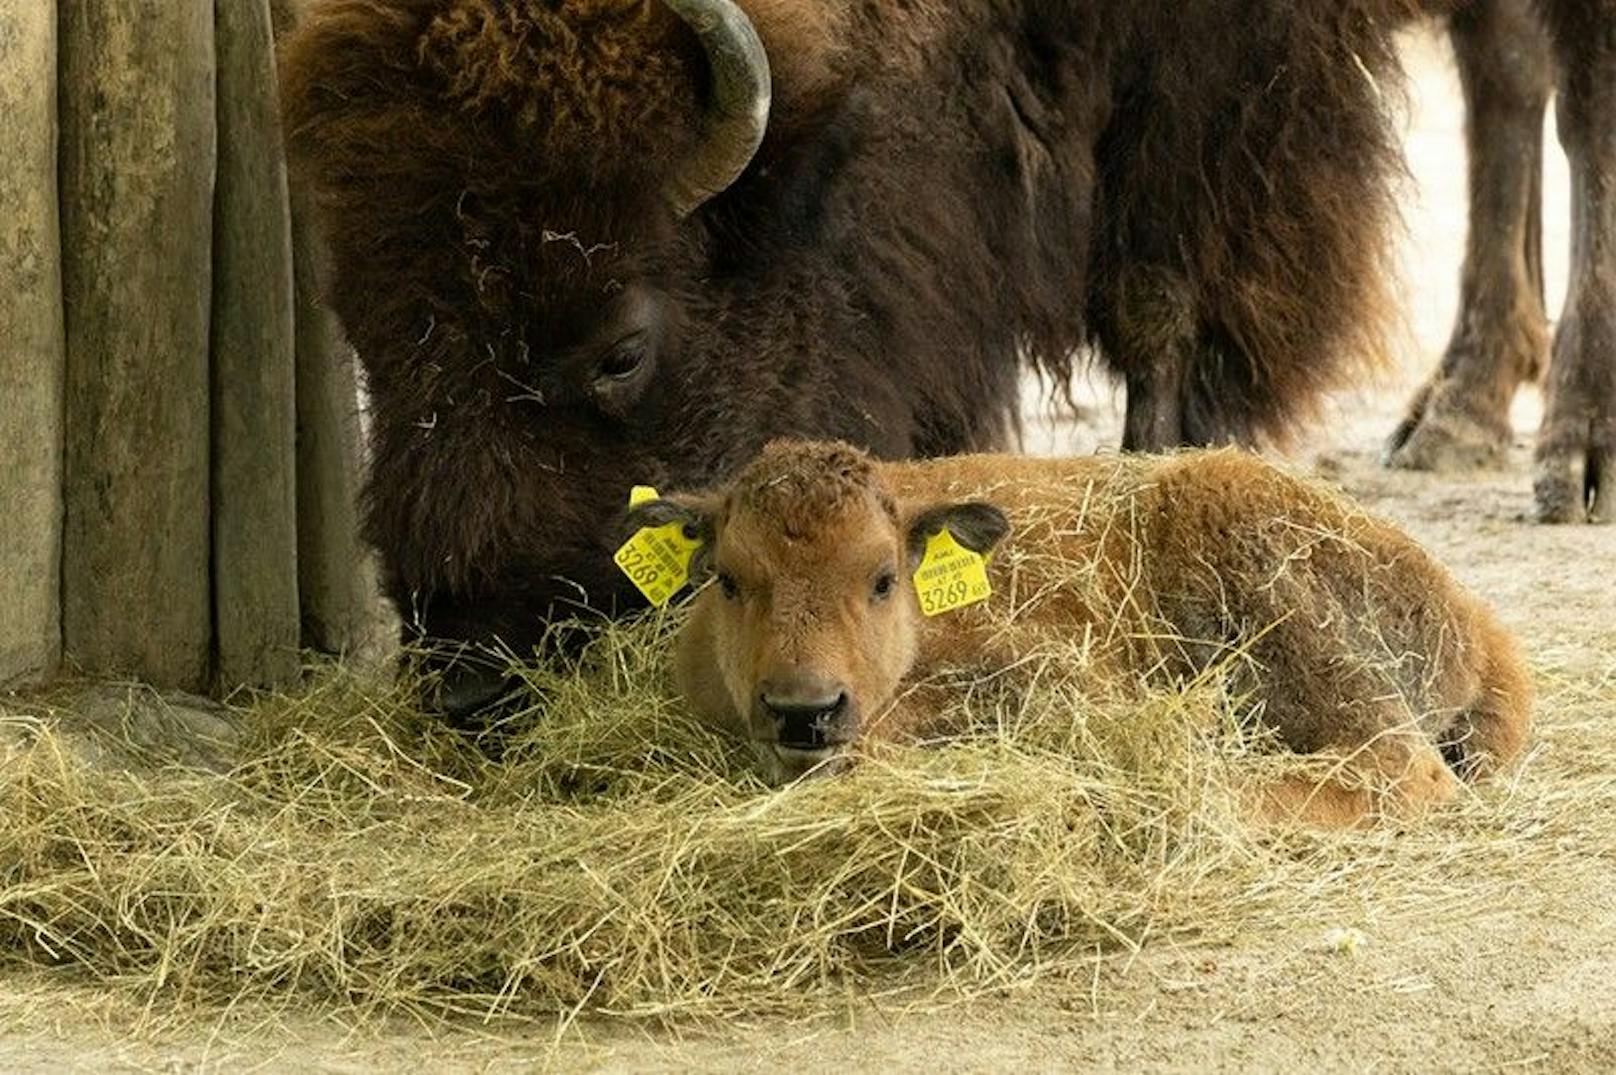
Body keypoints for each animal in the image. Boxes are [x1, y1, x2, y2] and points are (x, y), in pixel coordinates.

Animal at [281, 2, 1441, 711]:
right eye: (363, 334)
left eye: (620, 352)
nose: (470, 680)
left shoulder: (1211, 77)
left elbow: (1158, 297)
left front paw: (1154, 483)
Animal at [627, 439, 1525, 824]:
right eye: (730, 578)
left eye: (881, 578)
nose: (803, 711)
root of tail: (1476, 619)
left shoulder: (1050, 668)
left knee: (1396, 765)